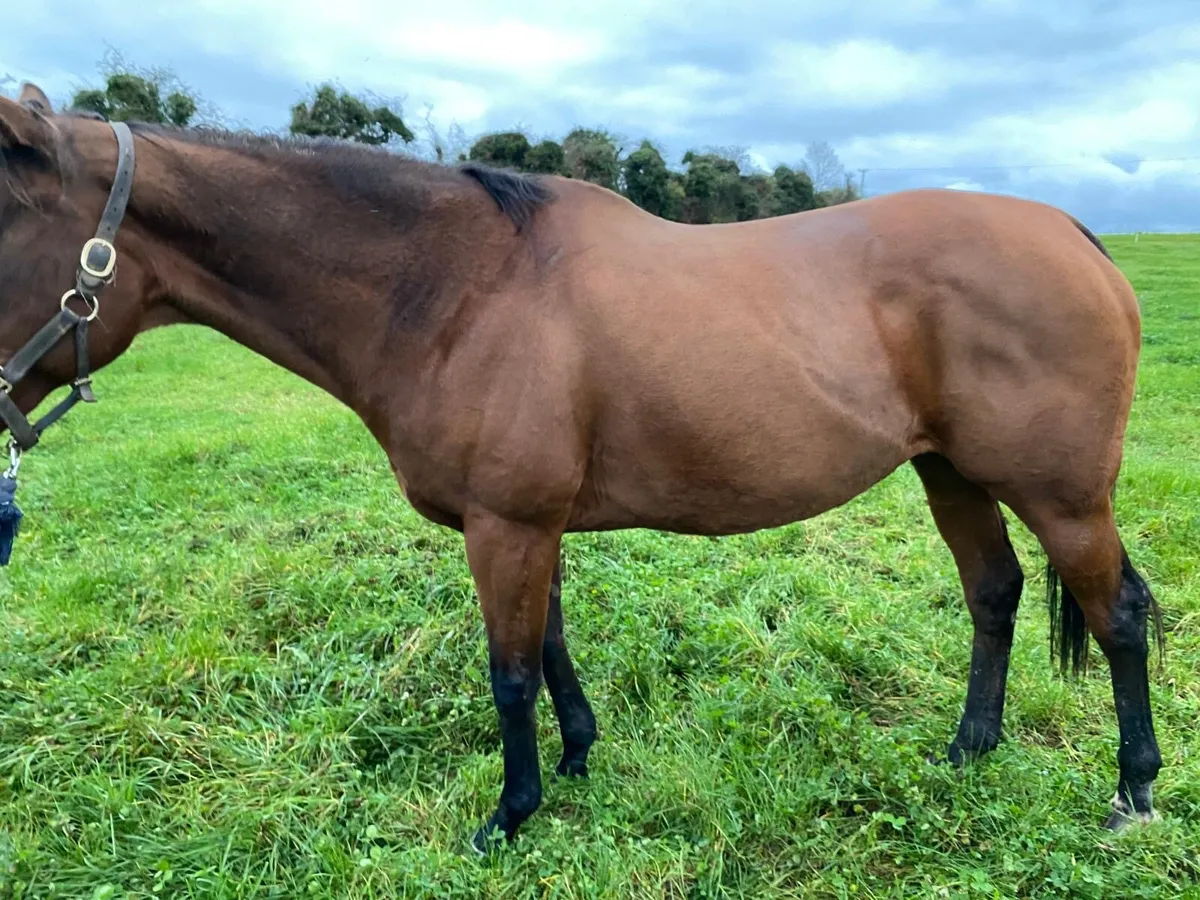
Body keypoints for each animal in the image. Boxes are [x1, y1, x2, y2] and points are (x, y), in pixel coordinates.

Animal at [0, 83, 1165, 854]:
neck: (460, 288)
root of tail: (1073, 235)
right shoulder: (529, 523)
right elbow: (550, 647)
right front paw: (573, 761)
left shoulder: (505, 524)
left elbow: (509, 669)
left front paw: (507, 818)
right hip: (950, 473)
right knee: (995, 594)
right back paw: (970, 750)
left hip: (1064, 495)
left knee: (1114, 619)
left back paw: (1133, 791)